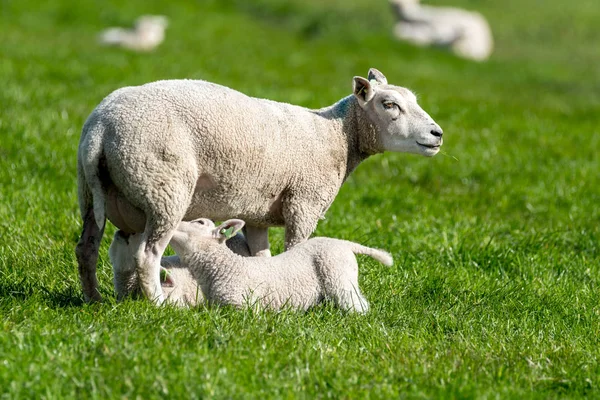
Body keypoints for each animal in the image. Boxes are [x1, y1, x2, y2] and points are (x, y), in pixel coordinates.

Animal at [76, 67, 440, 304]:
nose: (437, 134)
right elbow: (296, 248)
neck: (337, 136)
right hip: (163, 186)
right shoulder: (303, 202)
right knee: (147, 255)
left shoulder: (257, 214)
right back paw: (155, 304)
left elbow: (263, 257)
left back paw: (97, 300)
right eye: (389, 104)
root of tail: (101, 126)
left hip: (99, 193)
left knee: (89, 249)